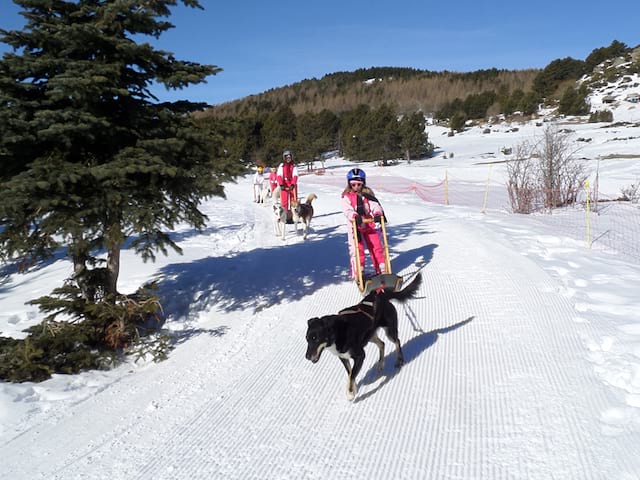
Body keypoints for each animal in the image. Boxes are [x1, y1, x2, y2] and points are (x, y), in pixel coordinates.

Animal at [308, 270, 422, 402]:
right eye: (307, 339)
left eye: (315, 338)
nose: (307, 356)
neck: (337, 333)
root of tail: (381, 296)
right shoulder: (343, 357)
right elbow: (350, 373)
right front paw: (353, 388)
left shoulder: (360, 355)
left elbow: (352, 374)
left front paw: (350, 393)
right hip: (370, 335)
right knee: (382, 344)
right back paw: (380, 364)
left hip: (389, 331)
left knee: (397, 341)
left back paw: (399, 360)